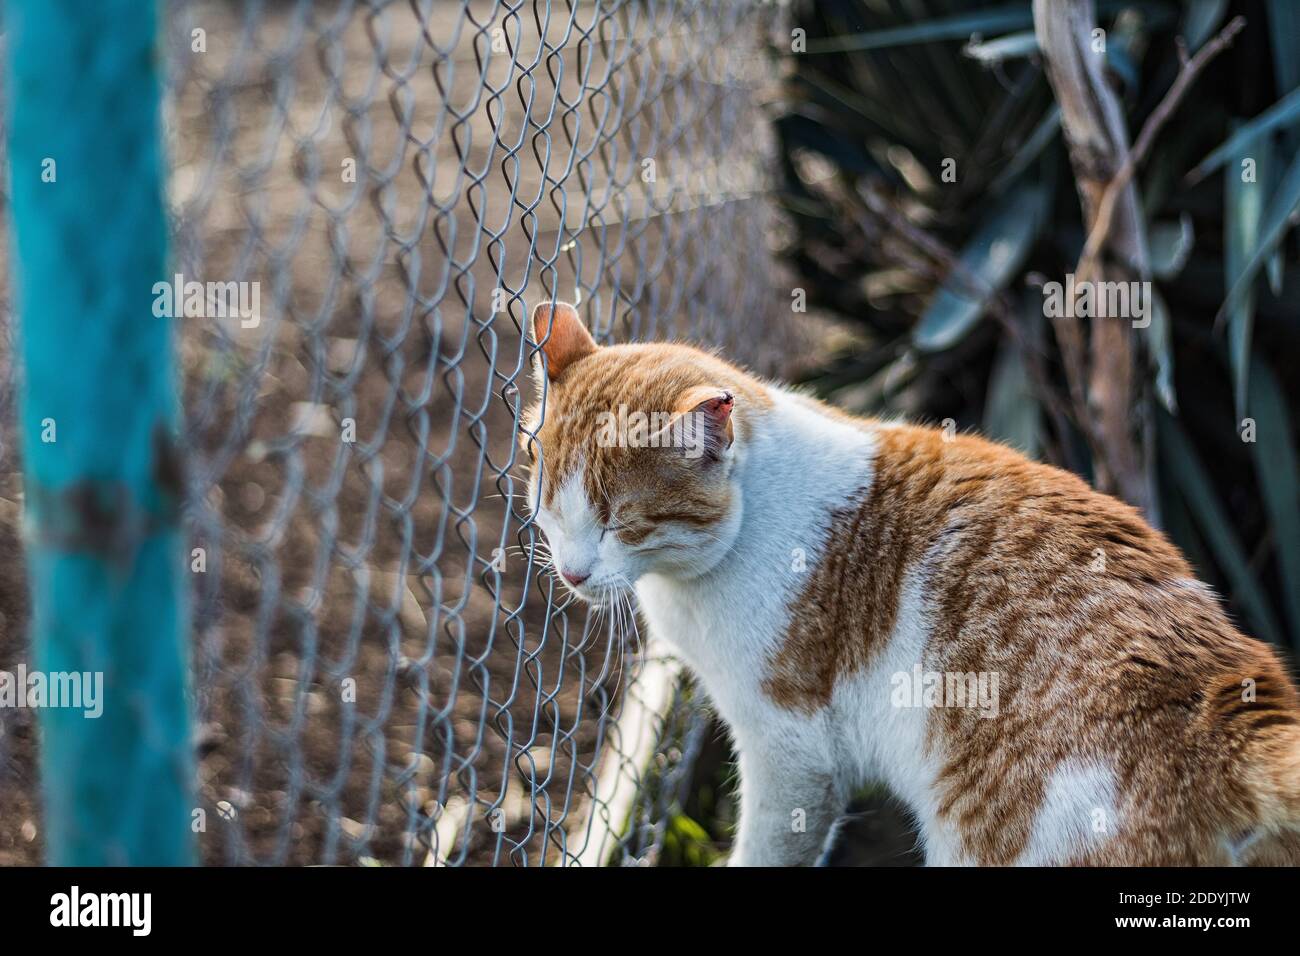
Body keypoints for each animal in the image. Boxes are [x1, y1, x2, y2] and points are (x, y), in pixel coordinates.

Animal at [525, 300, 1300, 868]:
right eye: (548, 501)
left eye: (622, 522)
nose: (572, 571)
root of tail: (1229, 696)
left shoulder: (793, 756)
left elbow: (768, 848)